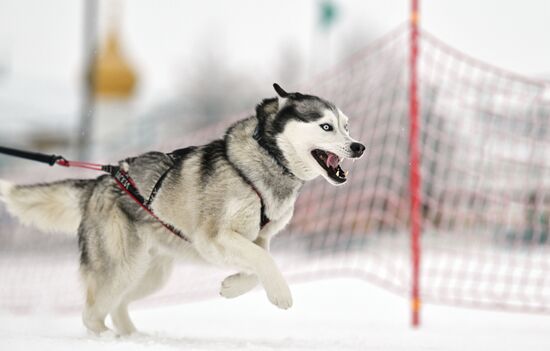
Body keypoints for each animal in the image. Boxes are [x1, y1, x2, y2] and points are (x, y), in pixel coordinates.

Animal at [0, 84, 366, 336]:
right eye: (326, 126)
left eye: (347, 125)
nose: (359, 146)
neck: (267, 160)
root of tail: (101, 181)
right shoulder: (213, 237)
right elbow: (264, 261)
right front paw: (280, 294)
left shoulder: (256, 239)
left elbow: (258, 265)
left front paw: (232, 286)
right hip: (120, 266)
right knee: (91, 314)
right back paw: (106, 338)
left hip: (149, 273)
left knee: (117, 306)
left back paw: (132, 337)